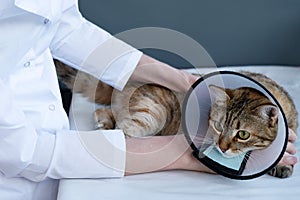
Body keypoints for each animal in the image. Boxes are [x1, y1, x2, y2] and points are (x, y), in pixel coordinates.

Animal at [54, 59, 298, 178]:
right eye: (219, 127)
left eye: (243, 134)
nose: (222, 147)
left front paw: (283, 166)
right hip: (152, 114)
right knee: (124, 130)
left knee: (107, 114)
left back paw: (102, 124)